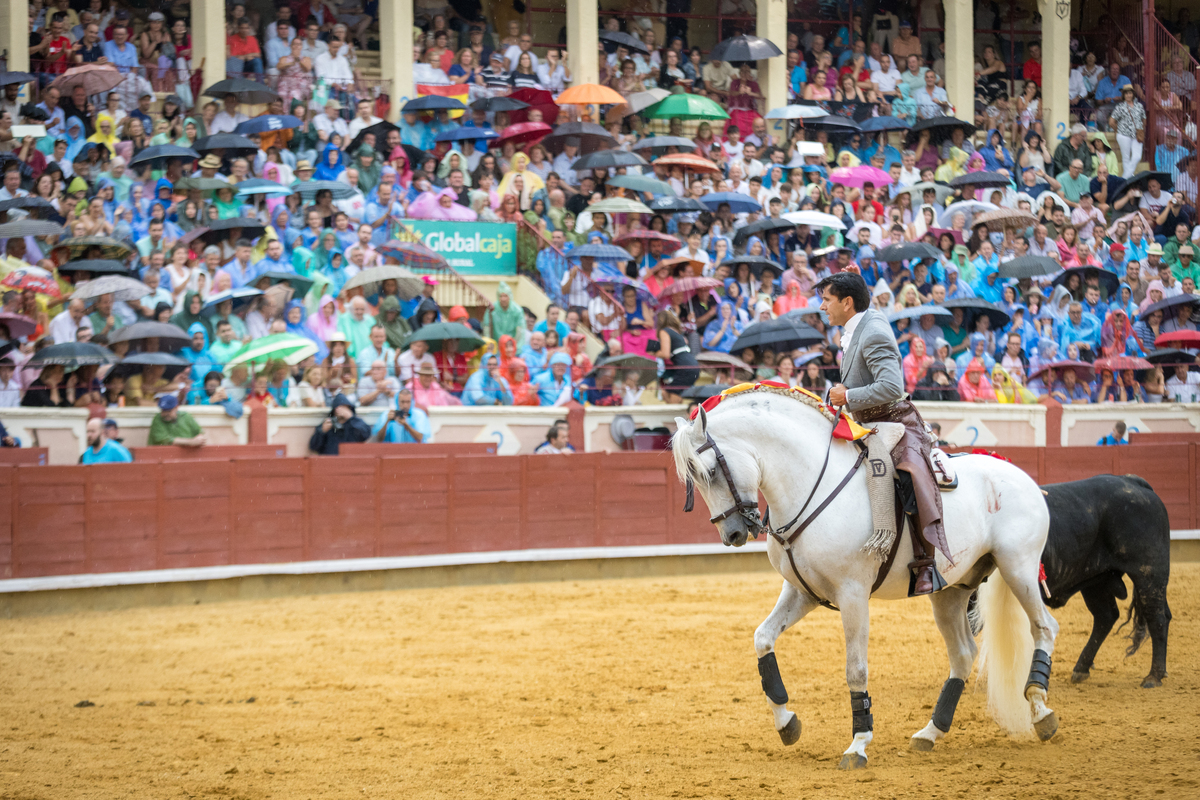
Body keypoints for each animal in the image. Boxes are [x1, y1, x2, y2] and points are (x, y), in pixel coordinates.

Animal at [676, 388, 1060, 767]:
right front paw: (787, 723)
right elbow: (762, 638)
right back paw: (931, 732)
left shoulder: (853, 593)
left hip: (1018, 567)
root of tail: (1021, 475)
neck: (812, 483)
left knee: (1044, 626)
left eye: (711, 471)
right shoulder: (802, 591)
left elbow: (855, 669)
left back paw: (1040, 710)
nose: (733, 534)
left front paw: (858, 744)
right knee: (964, 654)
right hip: (950, 590)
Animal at [1041, 474, 1171, 690]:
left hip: (1149, 573)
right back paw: (1081, 669)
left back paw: (1153, 677)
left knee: (1157, 617)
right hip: (1096, 581)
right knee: (1106, 616)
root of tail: (1131, 481)